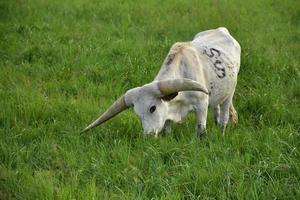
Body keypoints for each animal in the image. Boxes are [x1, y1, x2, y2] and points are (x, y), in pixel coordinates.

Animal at [82, 27, 241, 137]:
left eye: (152, 108)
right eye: (138, 114)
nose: (148, 135)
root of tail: (221, 30)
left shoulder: (201, 103)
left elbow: (200, 130)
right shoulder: (168, 110)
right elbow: (166, 129)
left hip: (230, 92)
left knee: (224, 116)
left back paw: (222, 132)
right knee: (216, 109)